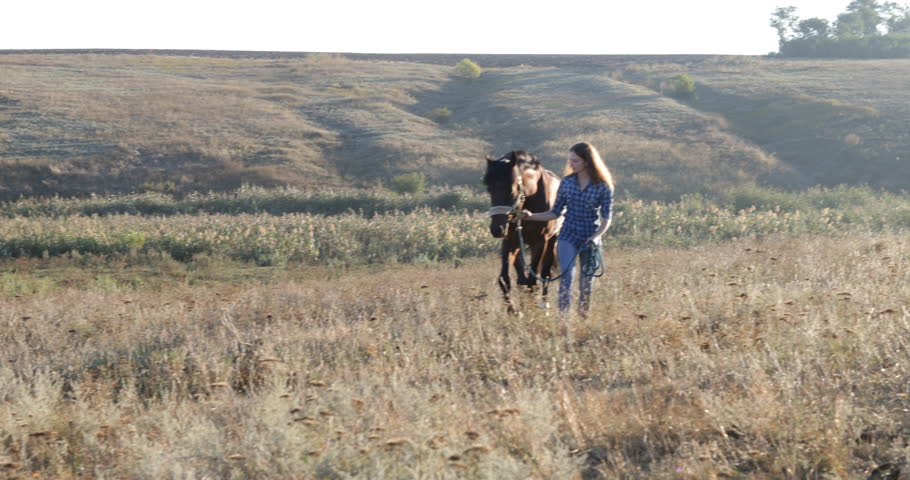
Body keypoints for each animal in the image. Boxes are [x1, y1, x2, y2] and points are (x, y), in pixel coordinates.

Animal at [484, 152, 564, 314]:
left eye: (511, 189)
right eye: (489, 189)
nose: (496, 229)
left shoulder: (540, 242)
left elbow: (533, 281)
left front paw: (534, 311)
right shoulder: (509, 241)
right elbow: (505, 279)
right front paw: (514, 311)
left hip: (551, 242)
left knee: (544, 274)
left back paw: (544, 306)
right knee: (521, 278)